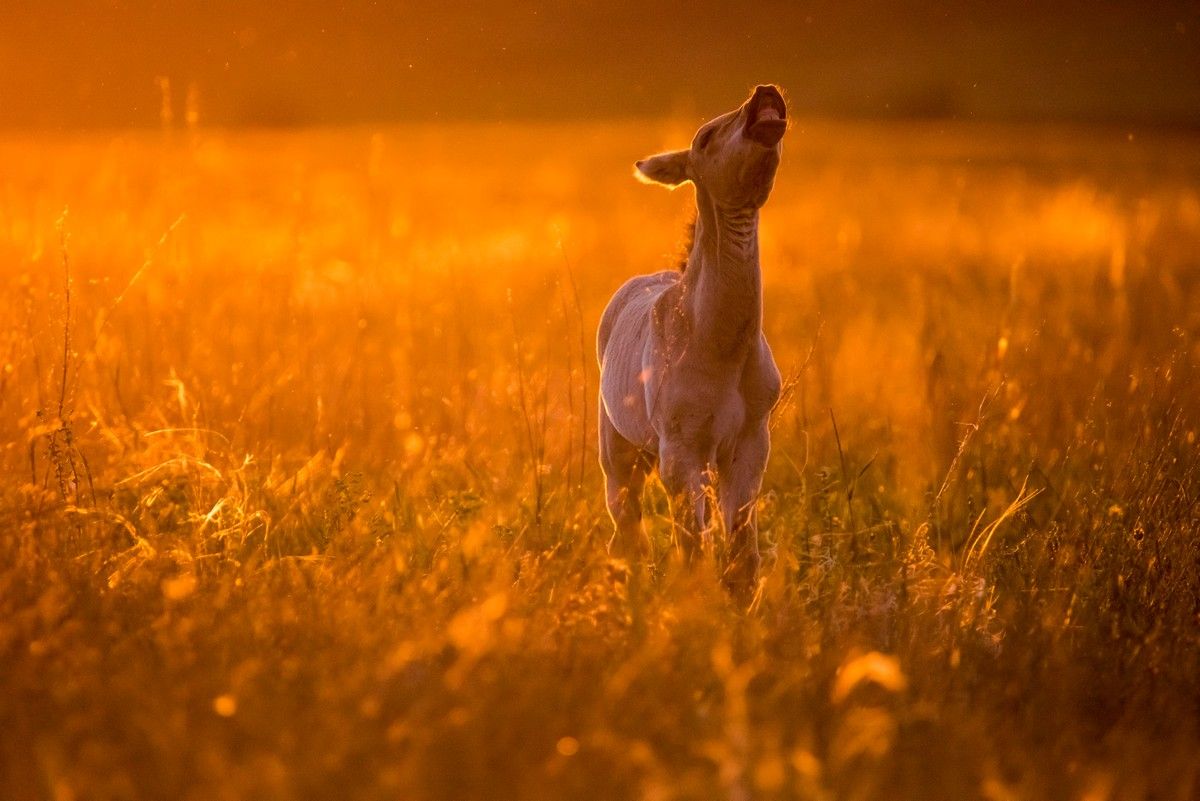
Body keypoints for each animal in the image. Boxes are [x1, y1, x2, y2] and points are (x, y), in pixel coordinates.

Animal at [597, 84, 787, 594]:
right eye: (704, 137)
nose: (765, 92)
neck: (719, 346)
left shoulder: (748, 444)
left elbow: (740, 552)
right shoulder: (681, 453)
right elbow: (692, 547)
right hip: (620, 450)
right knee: (626, 529)